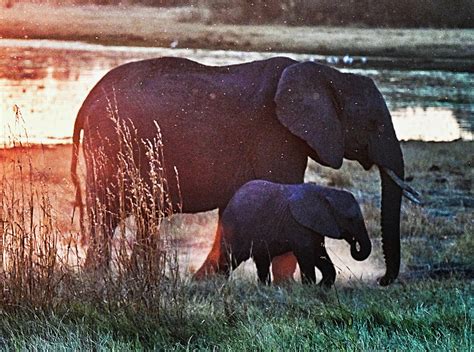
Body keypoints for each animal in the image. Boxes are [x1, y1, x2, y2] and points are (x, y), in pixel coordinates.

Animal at [217, 182, 372, 286]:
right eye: (350, 219)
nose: (354, 242)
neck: (325, 192)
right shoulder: (297, 224)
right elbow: (306, 253)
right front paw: (310, 288)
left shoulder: (313, 225)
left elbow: (319, 253)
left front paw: (321, 287)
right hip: (234, 229)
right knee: (231, 257)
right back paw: (220, 284)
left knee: (262, 260)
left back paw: (263, 288)